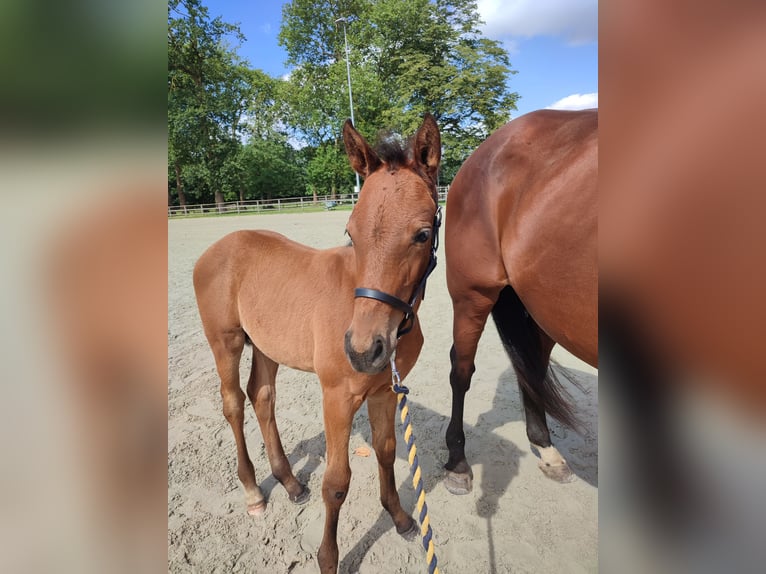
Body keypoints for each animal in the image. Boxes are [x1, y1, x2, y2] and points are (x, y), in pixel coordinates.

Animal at [194, 115, 444, 572]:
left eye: (422, 234)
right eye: (351, 232)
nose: (363, 350)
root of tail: (218, 246)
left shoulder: (384, 391)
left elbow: (385, 451)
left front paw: (399, 516)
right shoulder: (337, 396)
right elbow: (337, 482)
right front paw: (328, 557)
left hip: (266, 346)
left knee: (262, 396)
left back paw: (290, 481)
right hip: (226, 342)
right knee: (233, 403)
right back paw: (254, 491)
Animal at [444, 109, 600, 496]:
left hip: (545, 306)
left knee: (533, 365)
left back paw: (546, 448)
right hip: (473, 294)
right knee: (462, 369)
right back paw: (457, 462)